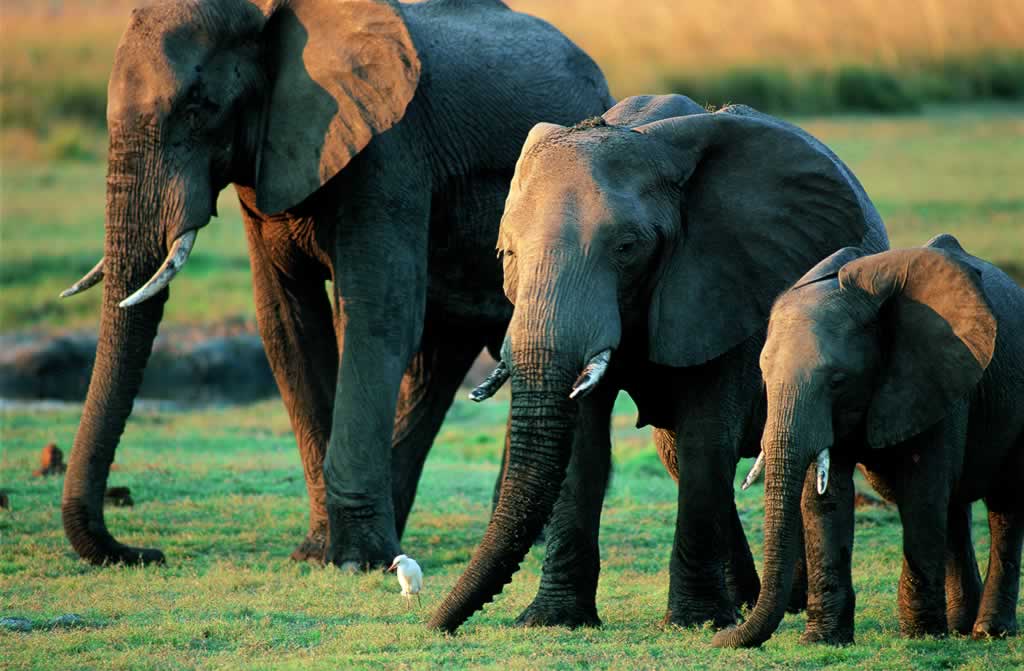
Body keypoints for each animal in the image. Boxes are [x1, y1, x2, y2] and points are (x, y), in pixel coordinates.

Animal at [423, 95, 888, 635]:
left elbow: (706, 436)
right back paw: (752, 601)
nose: (435, 625)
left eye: (627, 248)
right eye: (507, 252)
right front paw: (553, 621)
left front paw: (694, 623)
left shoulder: (731, 281)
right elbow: (583, 442)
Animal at [712, 233, 1024, 647]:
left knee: (1003, 504)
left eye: (837, 380)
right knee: (955, 507)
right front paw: (823, 640)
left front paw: (920, 636)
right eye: (763, 374)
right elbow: (825, 498)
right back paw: (959, 626)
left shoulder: (935, 374)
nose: (720, 634)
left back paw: (988, 631)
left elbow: (921, 492)